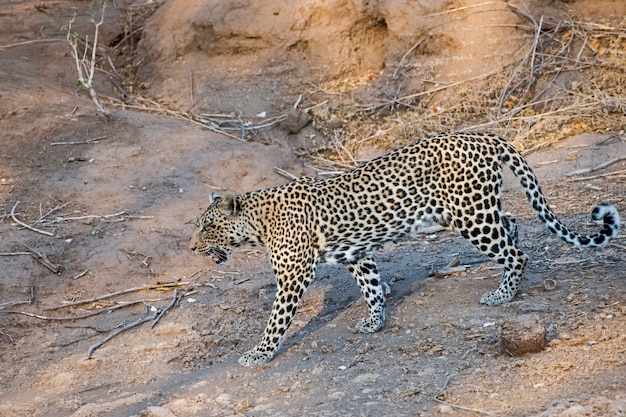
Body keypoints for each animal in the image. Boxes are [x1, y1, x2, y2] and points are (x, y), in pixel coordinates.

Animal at [190, 132, 620, 366]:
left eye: (208, 226)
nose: (192, 247)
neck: (258, 224)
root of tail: (485, 136)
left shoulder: (294, 275)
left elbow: (277, 319)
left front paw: (259, 353)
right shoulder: (356, 254)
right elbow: (371, 286)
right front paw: (374, 321)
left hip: (470, 216)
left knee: (516, 253)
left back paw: (502, 295)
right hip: (470, 211)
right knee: (512, 225)